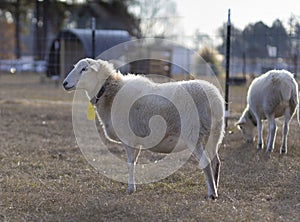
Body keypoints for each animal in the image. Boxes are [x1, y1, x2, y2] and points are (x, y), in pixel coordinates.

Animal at [62, 58, 224, 199]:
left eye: (84, 69)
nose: (65, 83)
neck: (110, 92)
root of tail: (214, 100)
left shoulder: (128, 139)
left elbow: (130, 164)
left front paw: (130, 188)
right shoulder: (136, 141)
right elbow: (134, 162)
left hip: (193, 133)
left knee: (206, 162)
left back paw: (212, 194)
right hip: (214, 134)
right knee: (215, 161)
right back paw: (215, 188)